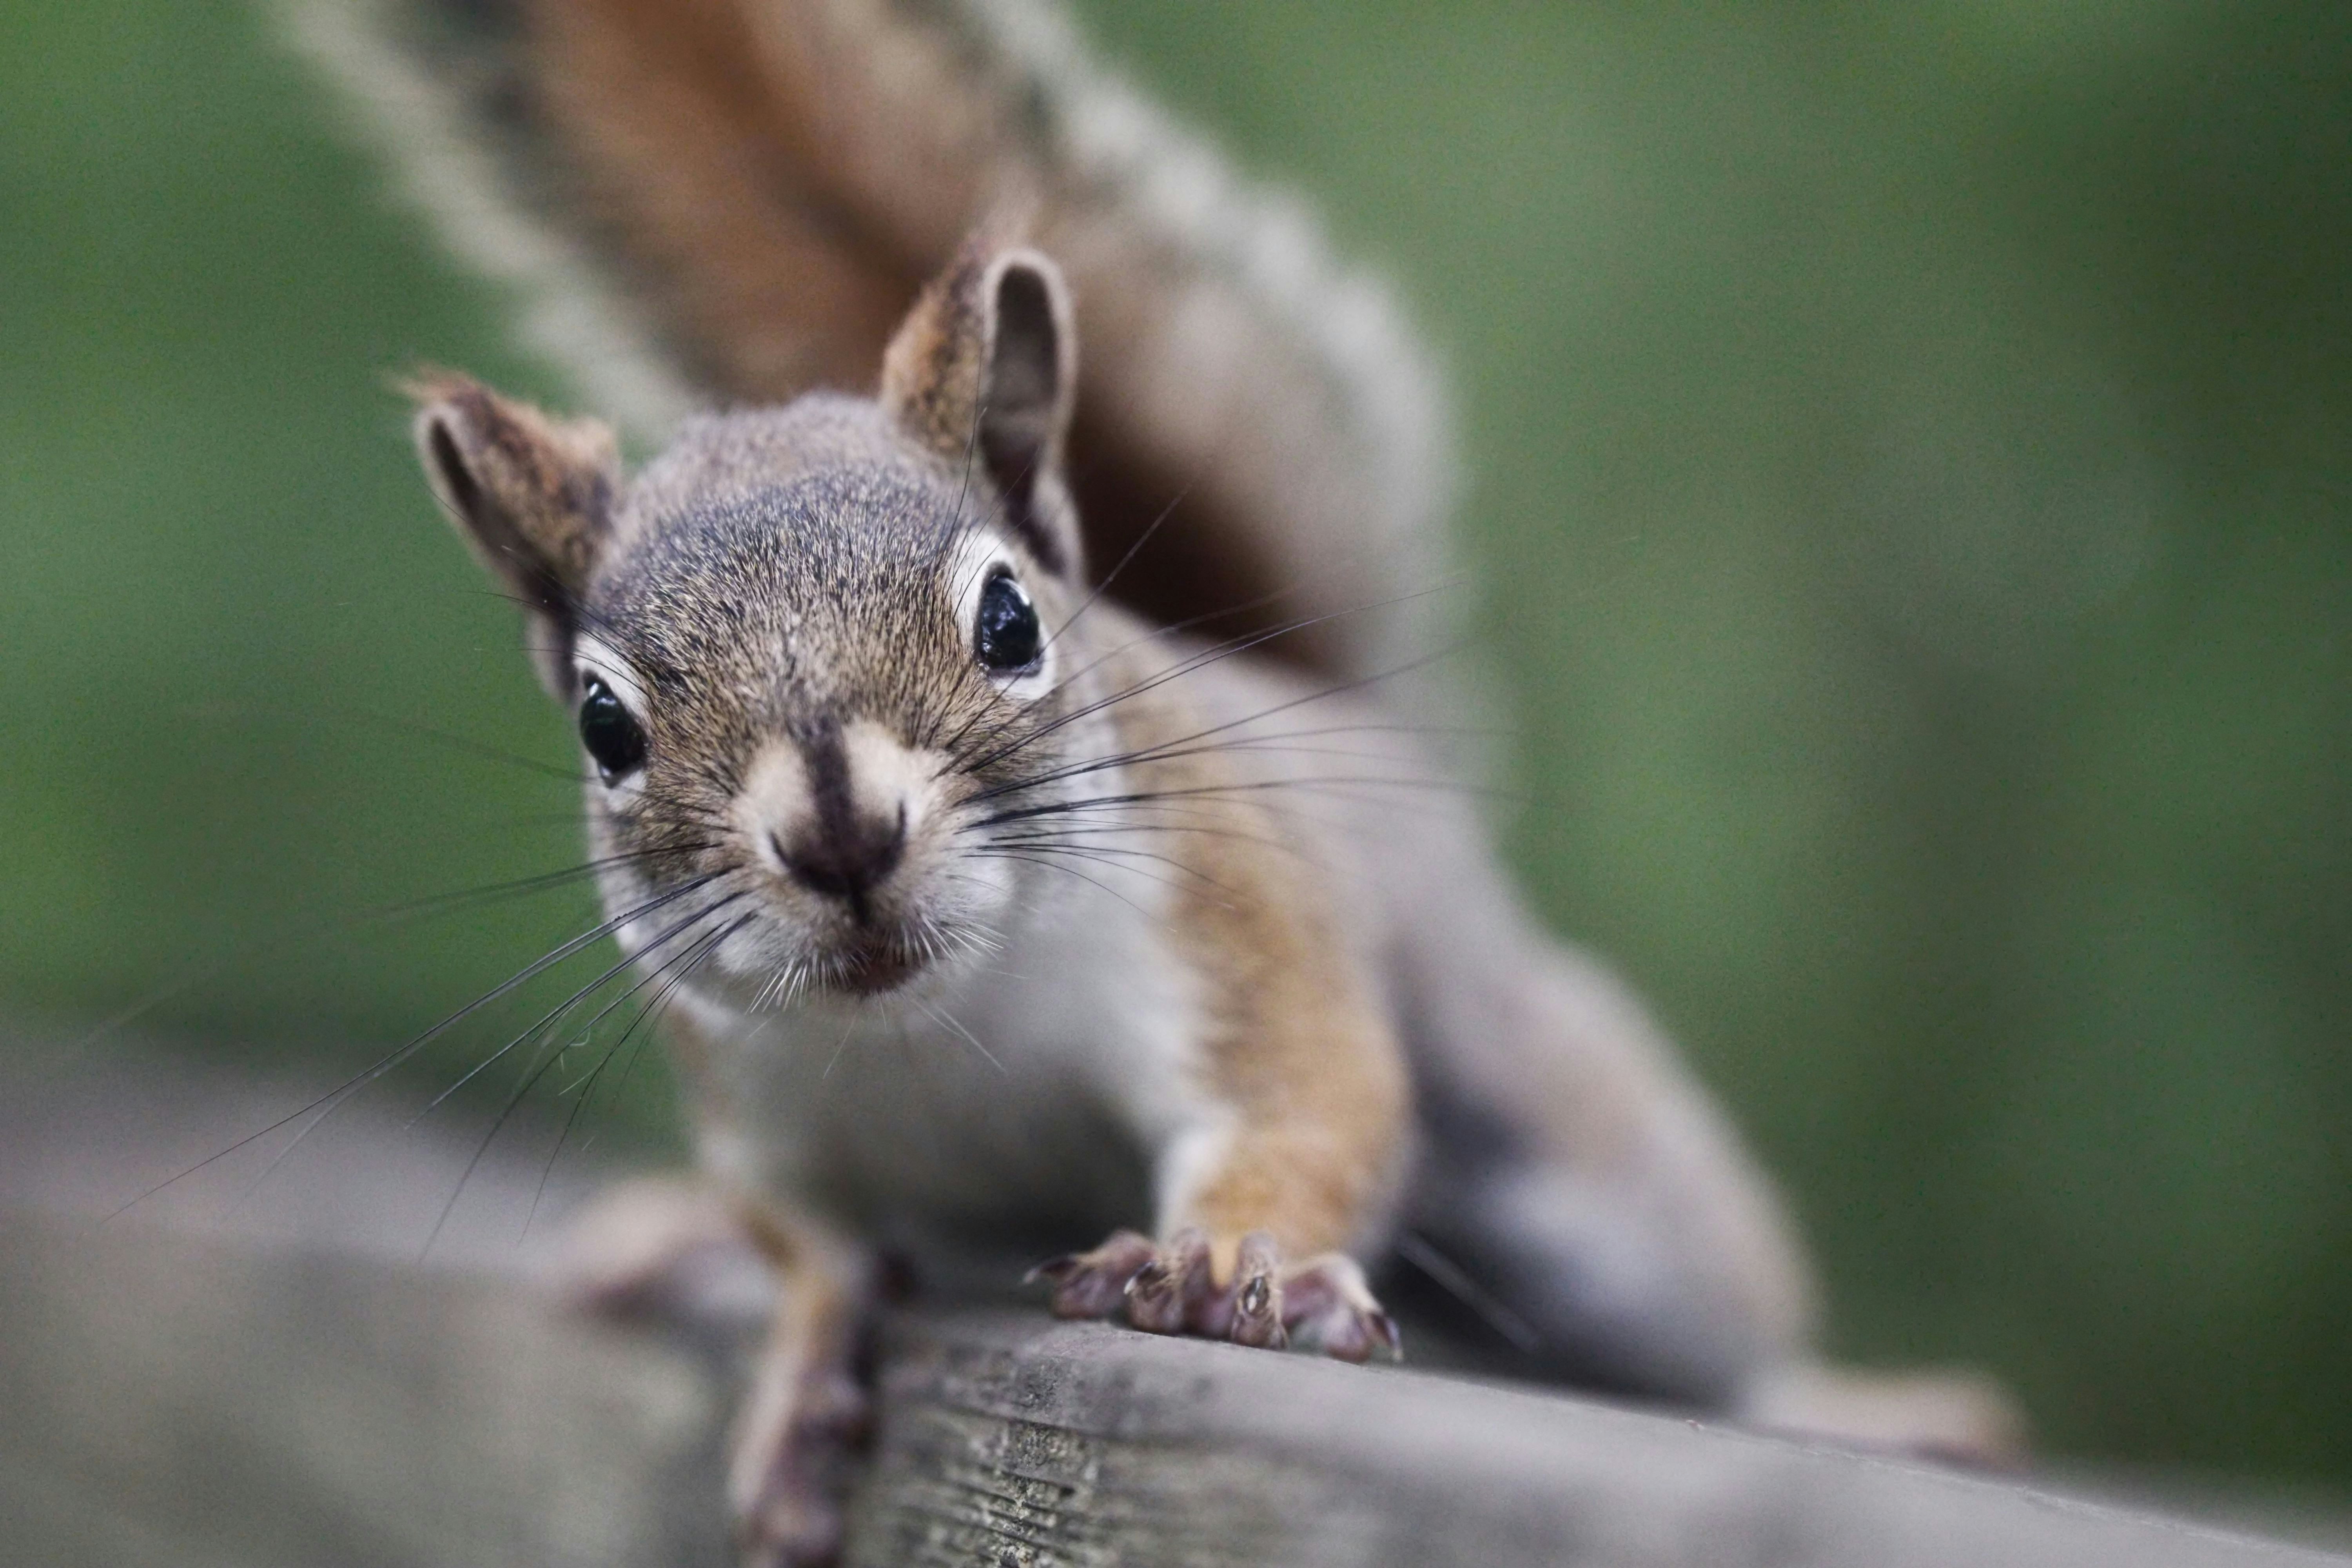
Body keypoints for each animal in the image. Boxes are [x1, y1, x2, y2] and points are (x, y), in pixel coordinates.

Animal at [296, 0, 2018, 1561]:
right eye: (605, 725)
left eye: (1007, 619)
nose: (843, 836)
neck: (943, 1026)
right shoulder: (753, 1099)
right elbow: (803, 1239)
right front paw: (799, 1362)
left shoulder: (1238, 919)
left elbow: (1309, 1102)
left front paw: (1232, 1260)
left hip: (1586, 1161)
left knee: (1709, 1316)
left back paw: (1859, 1399)